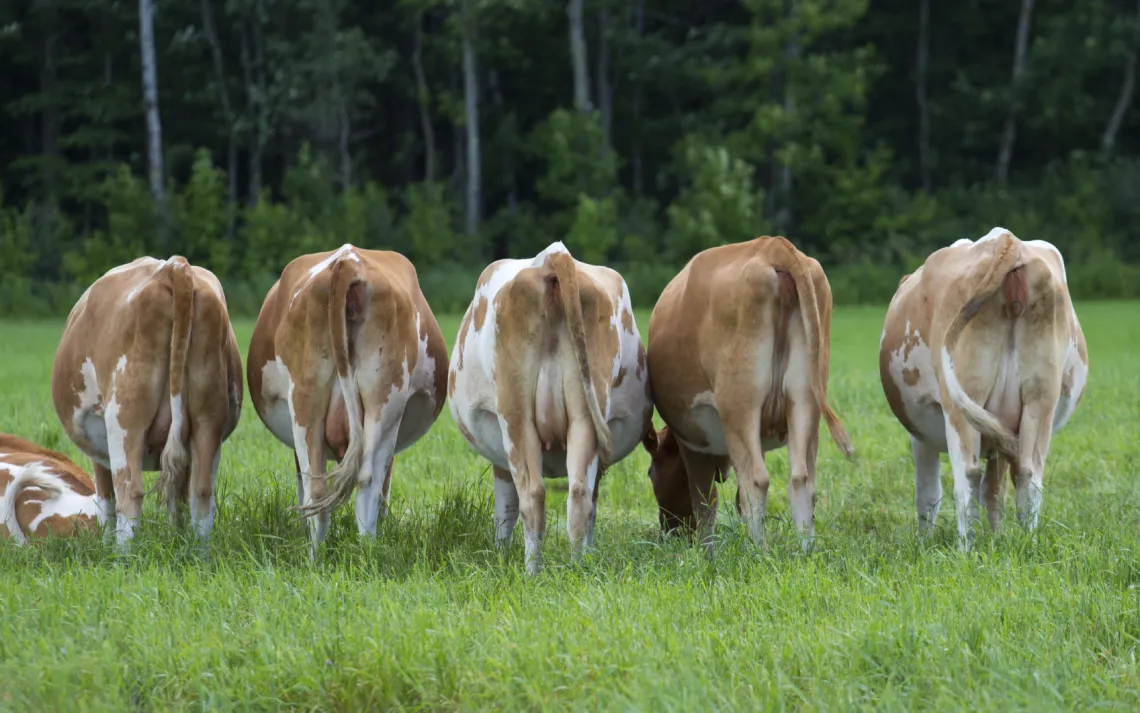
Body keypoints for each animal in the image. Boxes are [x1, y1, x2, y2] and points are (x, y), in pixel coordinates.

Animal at [51, 257, 243, 548]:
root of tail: (174, 267)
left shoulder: (100, 445)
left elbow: (105, 500)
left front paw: (104, 543)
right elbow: (179, 499)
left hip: (124, 420)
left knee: (130, 493)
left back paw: (122, 556)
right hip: (208, 418)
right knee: (201, 494)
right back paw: (196, 552)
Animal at [247, 244, 448, 549]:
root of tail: (347, 261)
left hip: (310, 402)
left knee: (327, 490)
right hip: (383, 403)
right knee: (362, 484)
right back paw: (363, 553)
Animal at [448, 242, 652, 574]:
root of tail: (553, 256)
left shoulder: (501, 457)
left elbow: (505, 510)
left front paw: (501, 554)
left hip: (516, 417)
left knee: (532, 495)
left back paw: (531, 572)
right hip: (585, 417)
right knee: (579, 494)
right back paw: (579, 568)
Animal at [641, 236, 855, 554]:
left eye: (651, 472)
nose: (671, 531)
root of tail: (773, 246)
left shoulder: (692, 440)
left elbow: (705, 500)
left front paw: (706, 553)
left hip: (738, 405)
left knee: (756, 480)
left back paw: (757, 552)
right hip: (805, 401)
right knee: (802, 479)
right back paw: (805, 551)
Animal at [879, 227, 1088, 547]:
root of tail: (1006, 240)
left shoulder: (920, 435)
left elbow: (929, 493)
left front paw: (924, 543)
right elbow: (993, 492)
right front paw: (995, 536)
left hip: (960, 404)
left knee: (966, 476)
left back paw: (965, 549)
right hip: (1040, 400)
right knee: (1029, 475)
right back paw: (1028, 542)